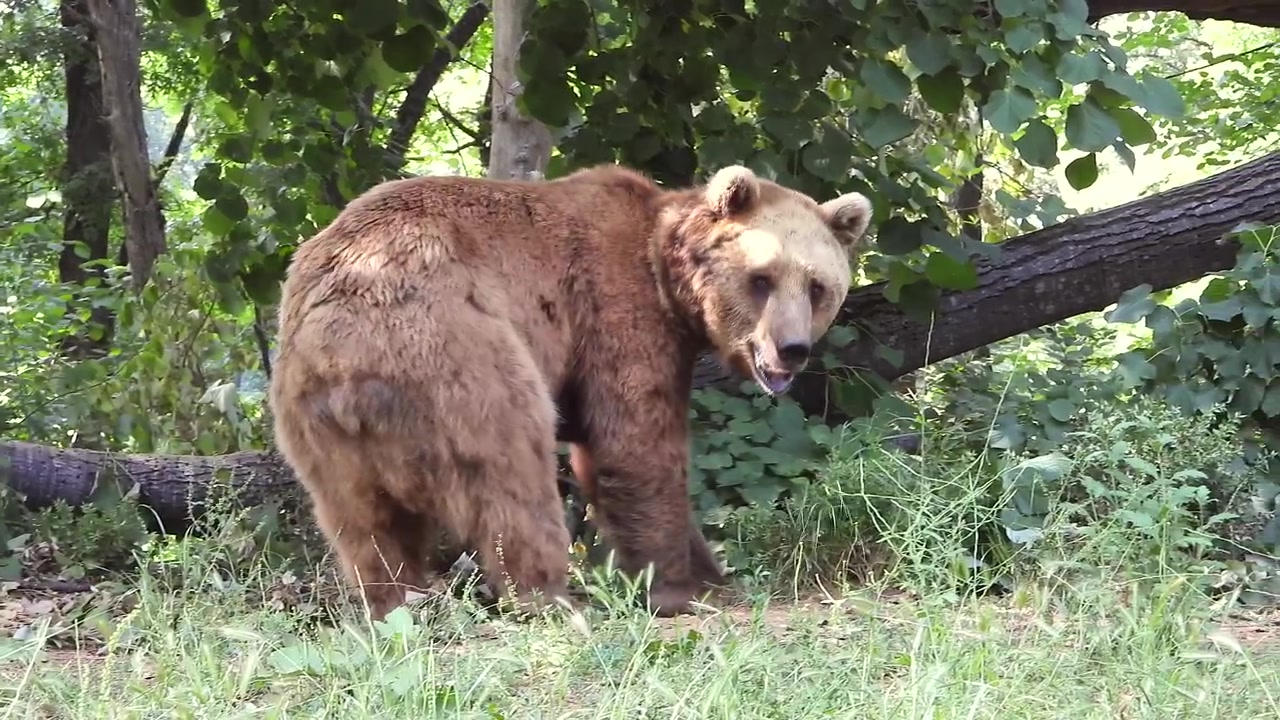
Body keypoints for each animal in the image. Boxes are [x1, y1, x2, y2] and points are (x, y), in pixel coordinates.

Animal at [267, 163, 873, 621]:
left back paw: (401, 598)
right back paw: (552, 596)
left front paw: (712, 576)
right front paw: (685, 586)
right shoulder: (612, 305)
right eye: (761, 278)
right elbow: (635, 446)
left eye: (817, 286)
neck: (666, 271)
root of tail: (341, 351)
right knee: (511, 472)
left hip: (316, 426)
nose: (792, 349)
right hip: (454, 351)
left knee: (364, 524)